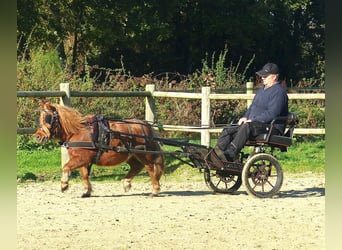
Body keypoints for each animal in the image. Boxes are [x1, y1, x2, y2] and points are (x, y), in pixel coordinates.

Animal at [34, 101, 165, 197]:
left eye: (47, 118)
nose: (38, 136)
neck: (78, 131)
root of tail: (146, 125)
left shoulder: (82, 158)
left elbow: (66, 167)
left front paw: (64, 185)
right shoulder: (83, 160)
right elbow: (84, 174)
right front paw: (87, 191)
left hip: (144, 154)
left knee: (151, 169)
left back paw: (155, 190)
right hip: (130, 154)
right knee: (137, 166)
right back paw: (126, 183)